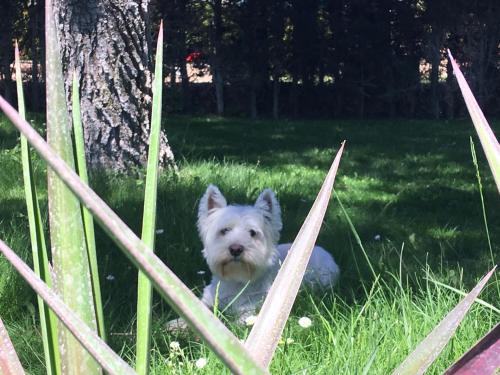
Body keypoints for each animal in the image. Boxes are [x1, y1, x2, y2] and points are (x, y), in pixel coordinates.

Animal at [196, 187, 340, 322]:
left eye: (252, 232)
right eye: (224, 230)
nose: (236, 249)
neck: (237, 280)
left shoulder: (253, 307)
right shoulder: (208, 298)